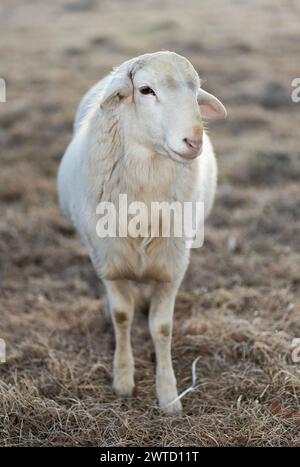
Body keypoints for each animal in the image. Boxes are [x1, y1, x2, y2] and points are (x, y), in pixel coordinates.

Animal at [57, 51, 226, 414]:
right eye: (146, 90)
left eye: (196, 92)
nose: (194, 141)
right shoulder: (108, 263)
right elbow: (121, 317)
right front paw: (123, 379)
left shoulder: (173, 265)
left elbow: (162, 328)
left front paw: (168, 393)